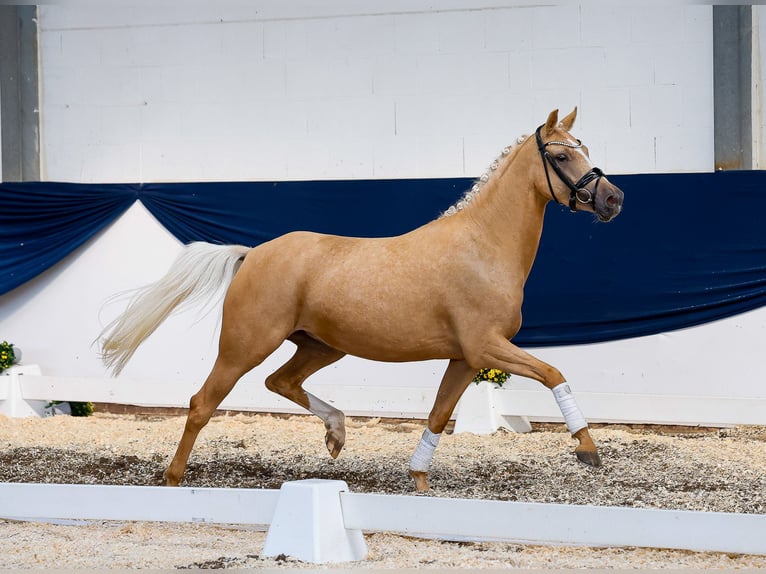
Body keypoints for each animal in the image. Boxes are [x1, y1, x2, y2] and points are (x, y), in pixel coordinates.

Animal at [100, 110, 624, 492]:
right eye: (561, 155)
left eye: (585, 150)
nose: (613, 199)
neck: (482, 246)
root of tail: (253, 254)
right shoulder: (485, 347)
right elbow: (554, 372)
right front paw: (587, 449)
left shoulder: (464, 357)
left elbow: (438, 415)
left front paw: (419, 480)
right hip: (244, 346)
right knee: (201, 403)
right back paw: (173, 480)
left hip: (320, 346)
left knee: (280, 381)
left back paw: (336, 433)